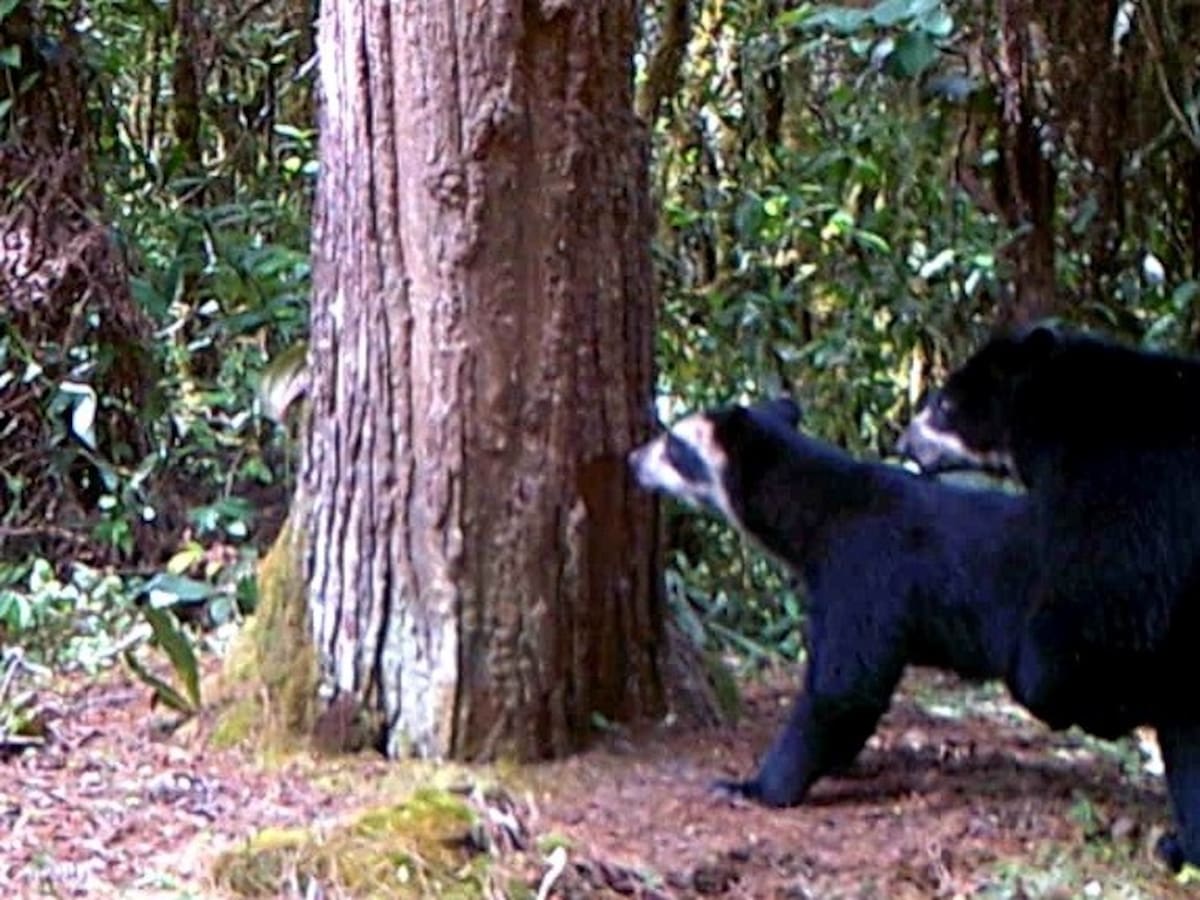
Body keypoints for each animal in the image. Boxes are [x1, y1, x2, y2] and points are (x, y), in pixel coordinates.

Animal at [627, 396, 1035, 807]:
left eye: (674, 443)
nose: (632, 459)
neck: (817, 514)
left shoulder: (863, 569)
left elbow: (843, 684)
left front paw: (752, 787)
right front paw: (838, 761)